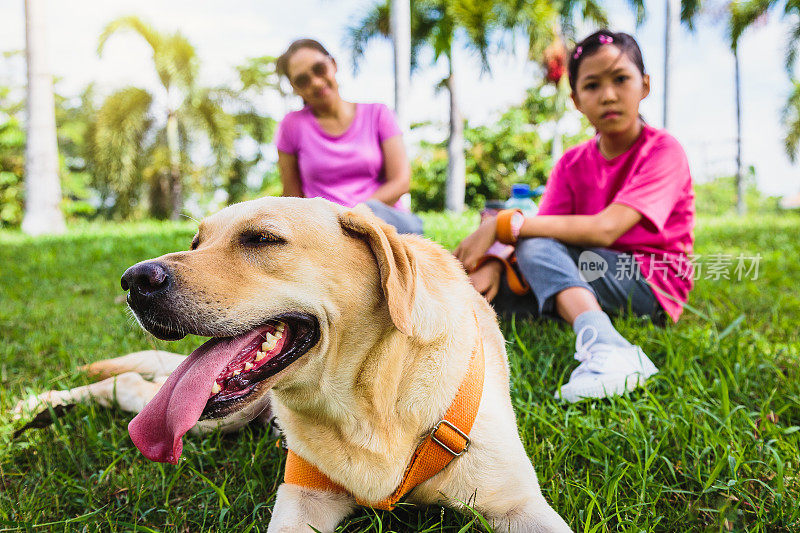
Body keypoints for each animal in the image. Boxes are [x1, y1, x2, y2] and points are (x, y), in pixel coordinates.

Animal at [10, 197, 568, 528]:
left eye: (261, 239)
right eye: (195, 242)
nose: (134, 281)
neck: (368, 406)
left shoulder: (517, 504)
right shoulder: (304, 498)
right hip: (214, 421)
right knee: (128, 384)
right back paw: (38, 405)